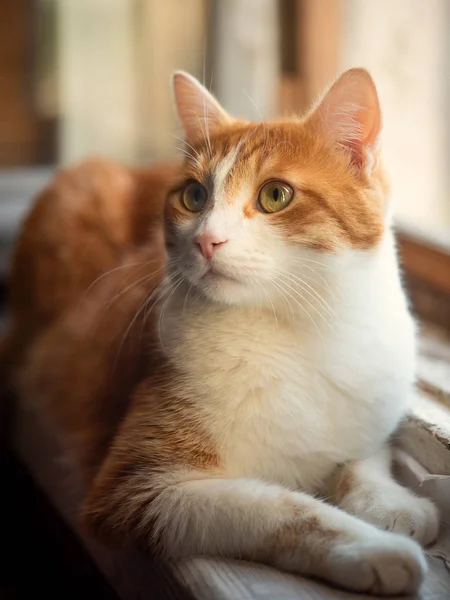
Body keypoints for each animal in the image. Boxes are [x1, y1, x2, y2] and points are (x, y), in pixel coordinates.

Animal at [4, 69, 440, 596]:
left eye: (275, 195)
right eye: (194, 196)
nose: (206, 240)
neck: (298, 331)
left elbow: (364, 456)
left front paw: (390, 503)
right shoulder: (138, 487)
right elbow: (279, 508)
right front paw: (374, 549)